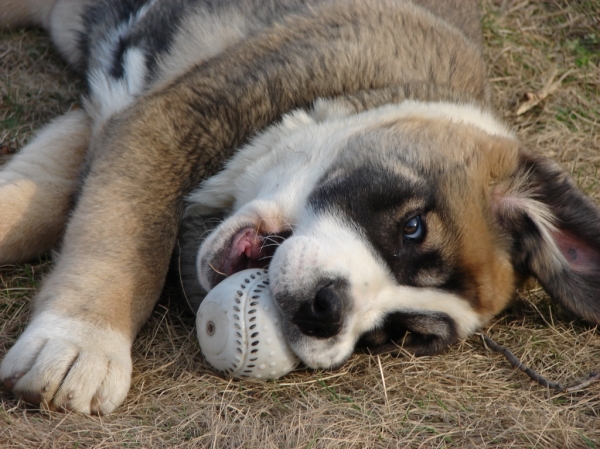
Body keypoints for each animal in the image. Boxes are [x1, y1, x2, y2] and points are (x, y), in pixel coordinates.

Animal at [1, 0, 600, 412]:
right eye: (412, 227)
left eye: (402, 334)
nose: (325, 311)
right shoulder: (167, 119)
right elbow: (126, 232)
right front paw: (79, 345)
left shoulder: (109, 118)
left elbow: (44, 201)